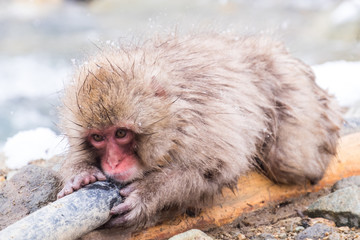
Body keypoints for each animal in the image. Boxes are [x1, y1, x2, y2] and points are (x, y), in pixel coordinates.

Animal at [57, 33, 342, 231]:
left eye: (121, 134)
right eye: (97, 137)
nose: (113, 162)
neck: (174, 116)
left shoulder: (203, 125)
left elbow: (215, 168)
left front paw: (149, 192)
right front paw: (79, 174)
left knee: (290, 162)